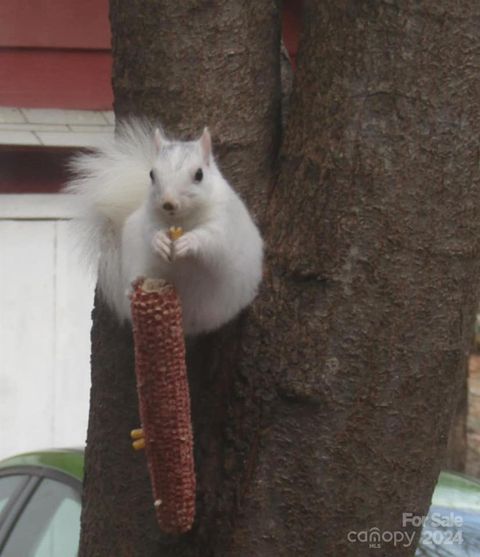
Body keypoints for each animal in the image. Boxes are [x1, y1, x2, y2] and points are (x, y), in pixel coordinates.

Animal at [66, 119, 264, 334]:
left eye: (199, 174)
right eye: (152, 174)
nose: (168, 203)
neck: (181, 221)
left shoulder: (223, 221)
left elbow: (212, 239)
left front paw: (189, 241)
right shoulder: (149, 219)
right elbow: (150, 232)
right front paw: (159, 241)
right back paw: (132, 287)